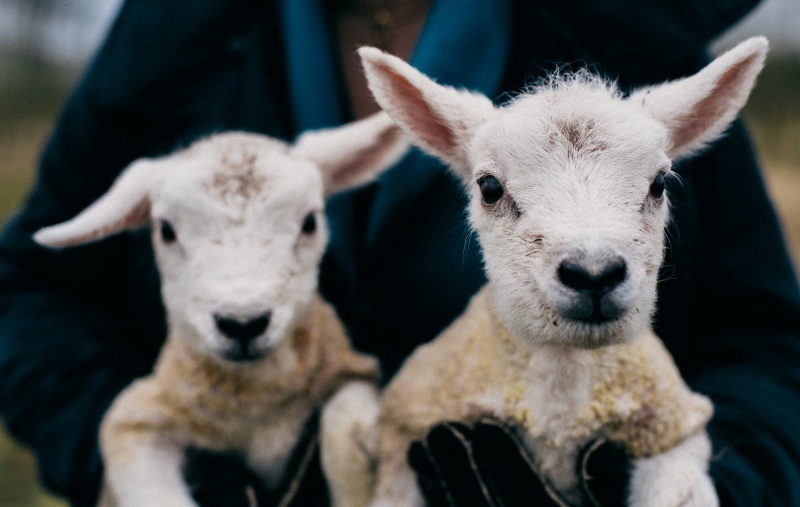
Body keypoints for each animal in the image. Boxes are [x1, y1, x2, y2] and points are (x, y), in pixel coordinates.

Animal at [32, 112, 408, 507]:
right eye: (166, 230)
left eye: (310, 222)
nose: (243, 323)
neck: (259, 406)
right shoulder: (138, 419)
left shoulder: (350, 370)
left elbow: (345, 417)